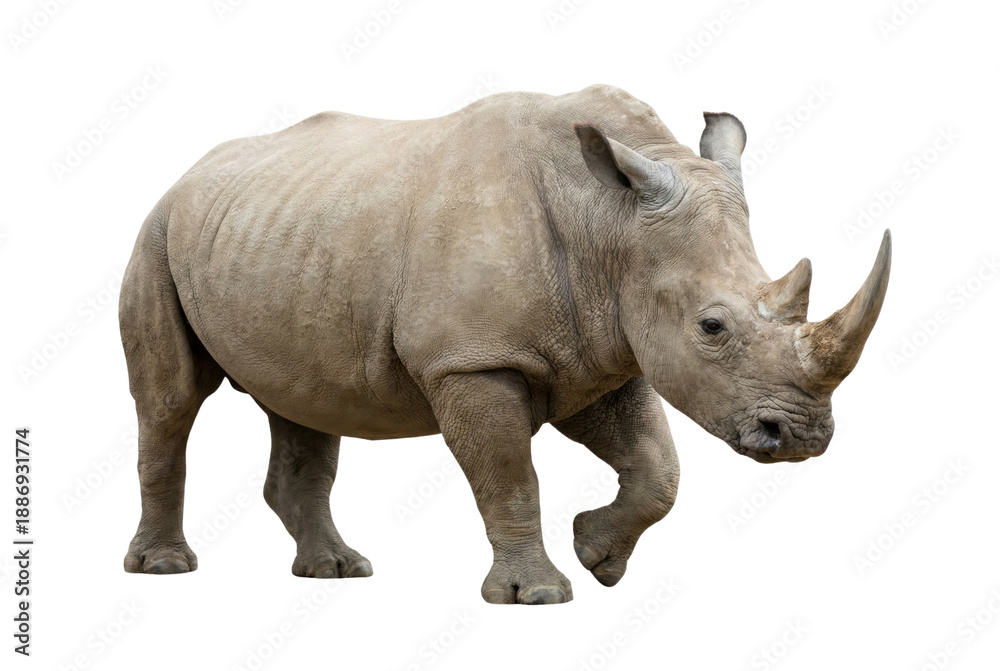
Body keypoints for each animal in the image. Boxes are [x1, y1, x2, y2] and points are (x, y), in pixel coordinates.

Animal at [120, 84, 890, 604]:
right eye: (712, 327)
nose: (803, 437)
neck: (609, 223)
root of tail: (189, 171)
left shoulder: (601, 352)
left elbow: (658, 469)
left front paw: (599, 557)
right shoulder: (473, 360)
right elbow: (510, 475)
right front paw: (536, 594)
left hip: (282, 233)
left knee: (304, 401)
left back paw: (338, 571)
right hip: (158, 231)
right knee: (171, 400)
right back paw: (165, 569)